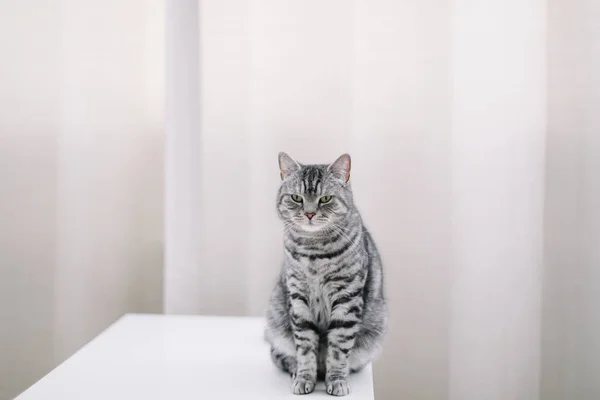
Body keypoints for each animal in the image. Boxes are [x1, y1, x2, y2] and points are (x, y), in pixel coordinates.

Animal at [264, 152, 386, 396]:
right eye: (297, 198)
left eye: (326, 199)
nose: (310, 213)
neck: (315, 252)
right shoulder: (298, 297)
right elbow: (304, 347)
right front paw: (304, 378)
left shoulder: (347, 297)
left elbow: (339, 349)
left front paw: (337, 380)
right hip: (276, 318)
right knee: (279, 355)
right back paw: (295, 370)